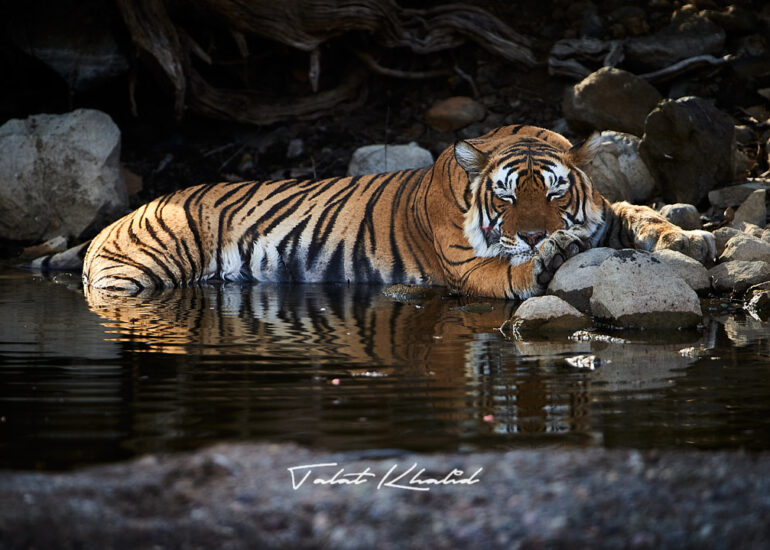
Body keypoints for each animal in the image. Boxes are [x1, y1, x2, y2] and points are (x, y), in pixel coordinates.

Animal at [81, 125, 716, 299]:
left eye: (555, 193)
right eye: (507, 196)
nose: (537, 235)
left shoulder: (607, 209)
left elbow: (642, 213)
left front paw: (690, 240)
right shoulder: (466, 267)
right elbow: (508, 269)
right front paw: (547, 259)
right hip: (144, 270)